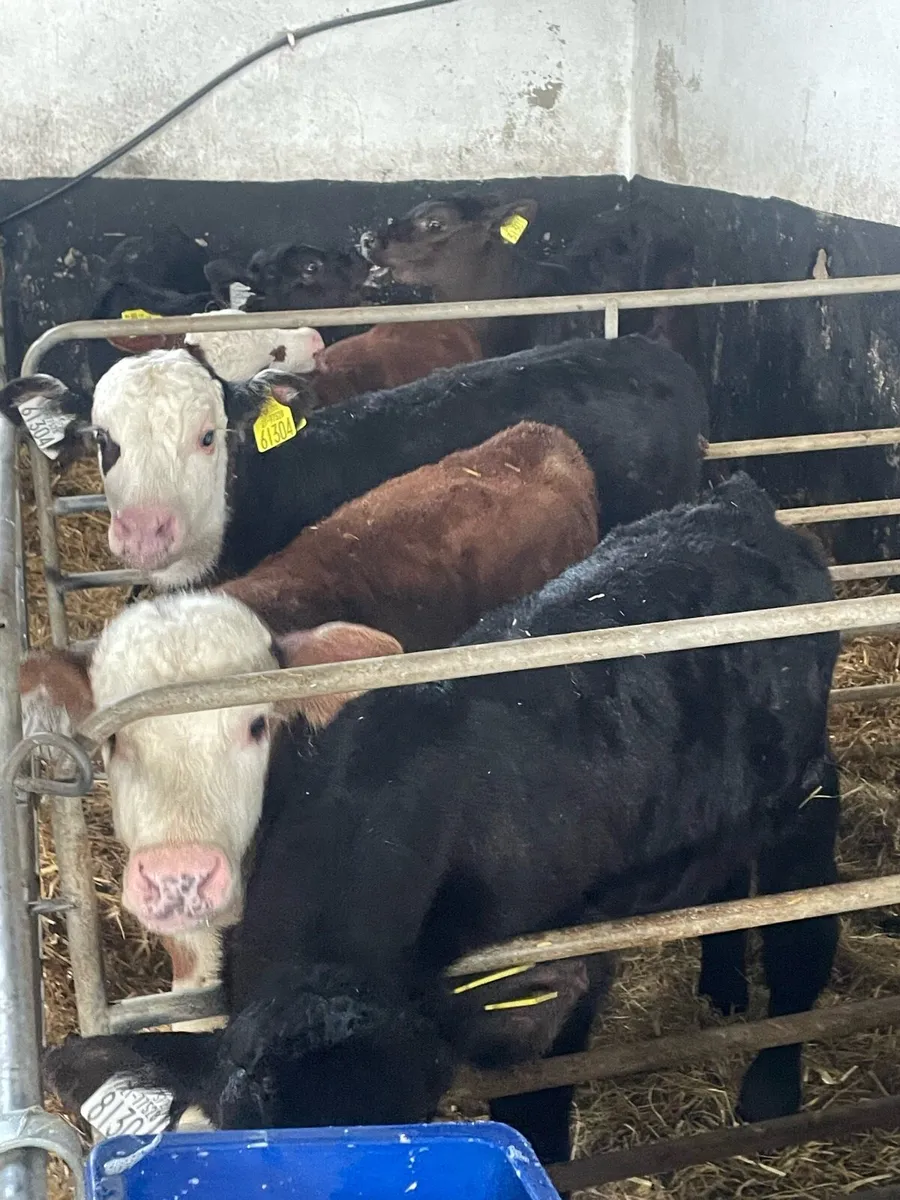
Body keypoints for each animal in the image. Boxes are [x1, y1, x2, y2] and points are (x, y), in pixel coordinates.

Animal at [42, 473, 841, 1165]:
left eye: (421, 1120)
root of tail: (734, 501)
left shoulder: (570, 958)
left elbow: (537, 1101)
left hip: (807, 792)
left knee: (804, 937)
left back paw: (772, 1085)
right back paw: (723, 988)